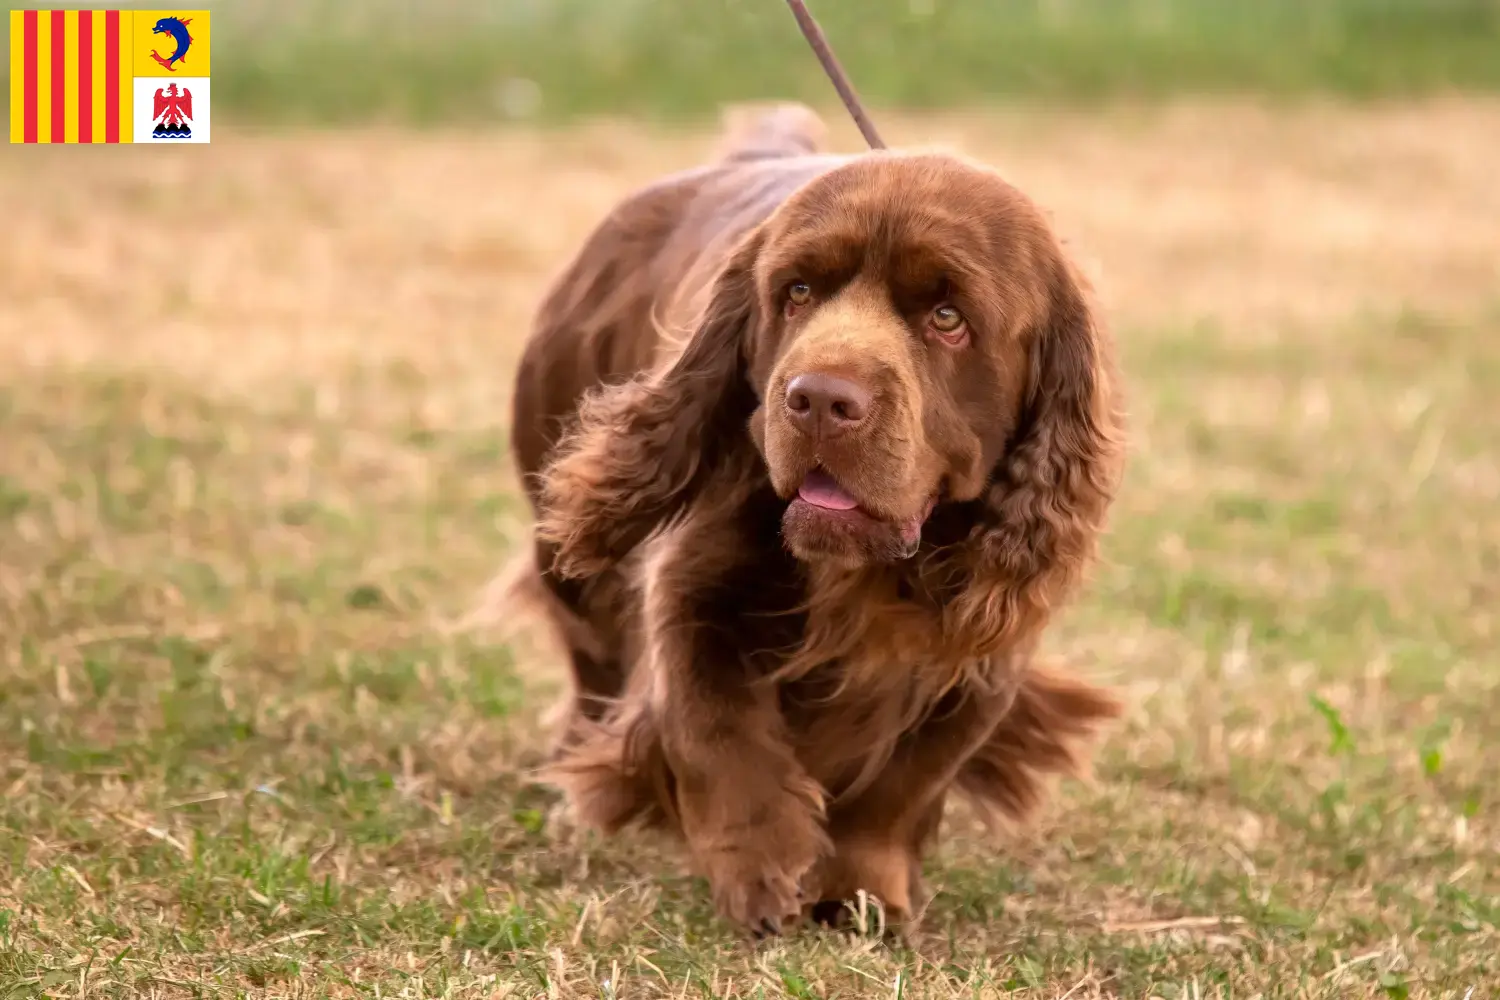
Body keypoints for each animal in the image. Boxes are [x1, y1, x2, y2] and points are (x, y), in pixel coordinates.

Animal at [504, 107, 1128, 941]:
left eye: (948, 318)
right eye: (796, 292)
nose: (821, 398)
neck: (870, 570)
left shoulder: (987, 649)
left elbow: (904, 781)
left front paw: (863, 892)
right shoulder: (690, 590)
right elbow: (714, 728)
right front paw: (762, 874)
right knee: (594, 664)